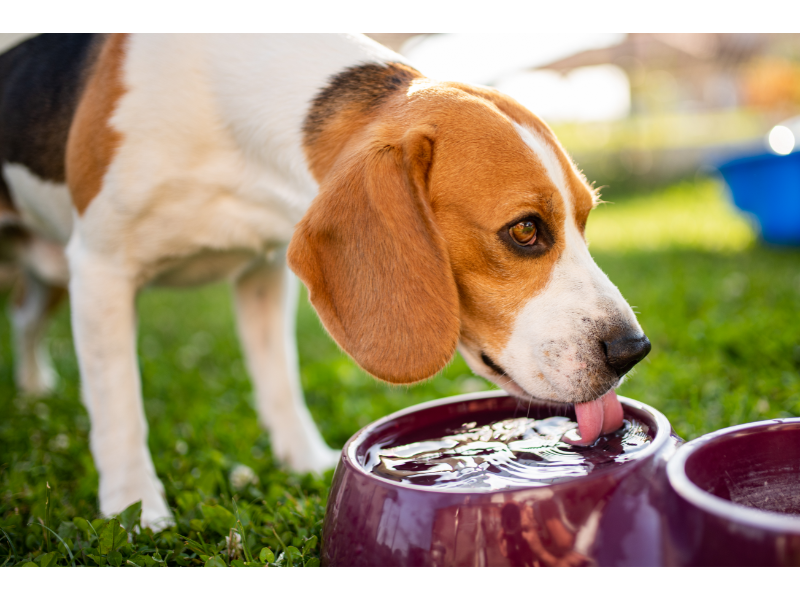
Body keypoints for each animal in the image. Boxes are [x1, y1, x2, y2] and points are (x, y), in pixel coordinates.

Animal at [0, 35, 648, 528]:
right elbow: (119, 407)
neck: (227, 122)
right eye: (525, 230)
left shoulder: (263, 270)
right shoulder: (101, 266)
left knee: (26, 320)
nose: (632, 350)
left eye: (586, 219)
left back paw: (33, 387)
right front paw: (136, 512)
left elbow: (279, 381)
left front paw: (305, 461)